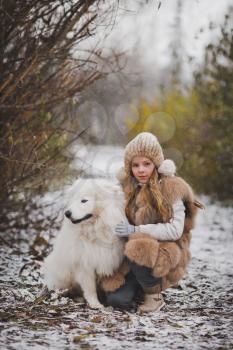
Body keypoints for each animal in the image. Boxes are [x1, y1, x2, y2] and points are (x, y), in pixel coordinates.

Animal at [43, 178, 127, 308]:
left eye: (84, 201)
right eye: (73, 200)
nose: (67, 213)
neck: (94, 229)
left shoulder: (107, 259)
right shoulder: (84, 265)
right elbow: (90, 288)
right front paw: (95, 304)